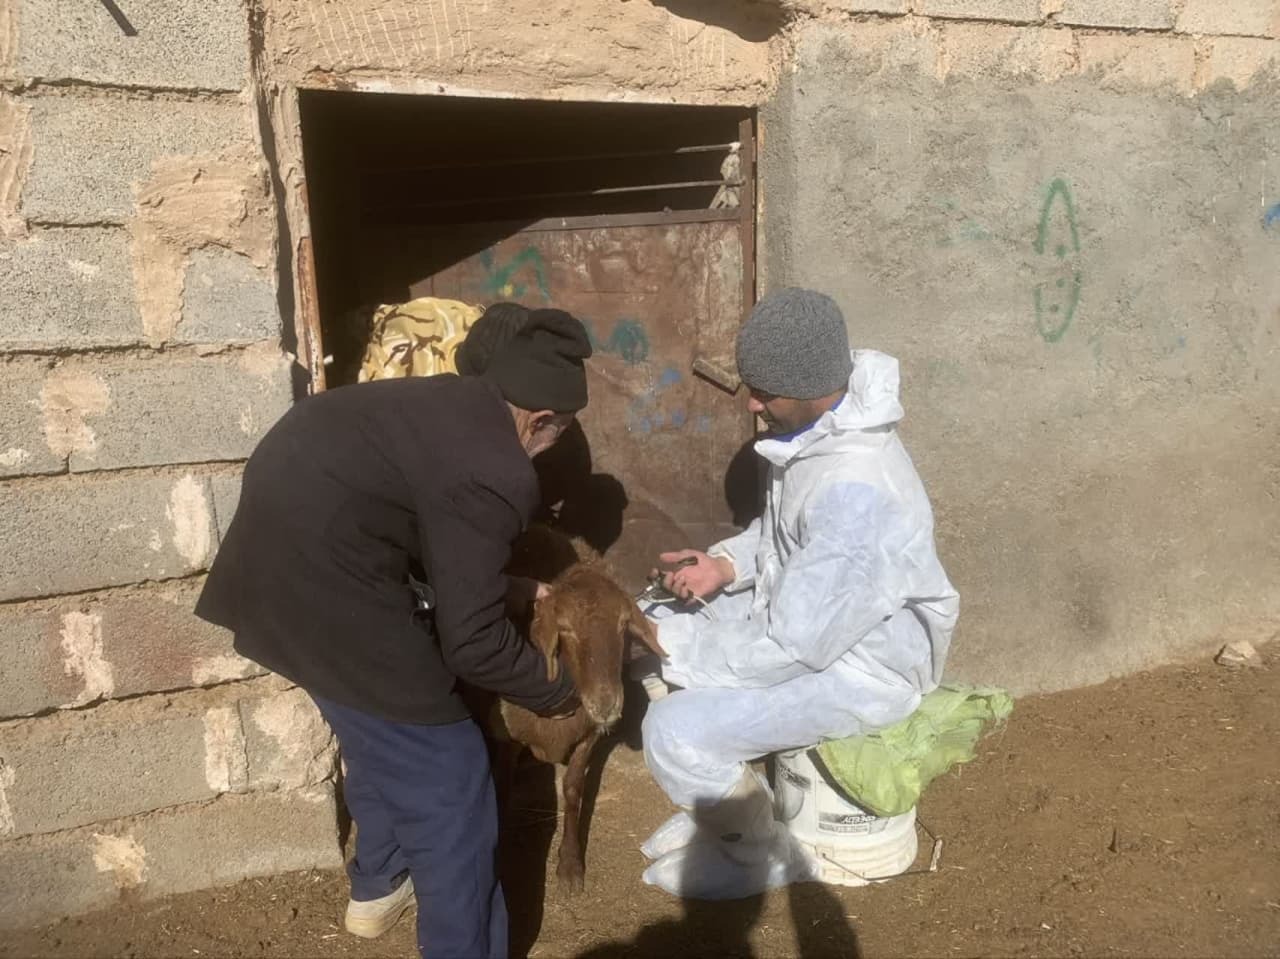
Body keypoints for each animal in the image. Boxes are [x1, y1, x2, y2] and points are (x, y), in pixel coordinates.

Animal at [491, 524, 665, 891]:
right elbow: (502, 787)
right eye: (566, 630)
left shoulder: (589, 735)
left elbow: (572, 789)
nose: (607, 704)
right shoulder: (506, 737)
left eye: (622, 625)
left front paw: (570, 863)